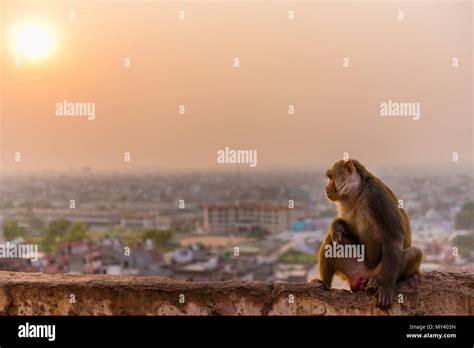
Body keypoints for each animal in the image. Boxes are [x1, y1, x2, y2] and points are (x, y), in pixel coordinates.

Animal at [314, 159, 422, 308]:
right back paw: (325, 283)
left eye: (331, 178)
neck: (358, 193)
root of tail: (362, 276)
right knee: (333, 240)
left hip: (379, 269)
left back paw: (377, 282)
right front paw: (336, 225)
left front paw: (386, 286)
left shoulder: (375, 195)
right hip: (353, 268)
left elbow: (393, 238)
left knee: (415, 253)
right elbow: (345, 230)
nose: (325, 188)